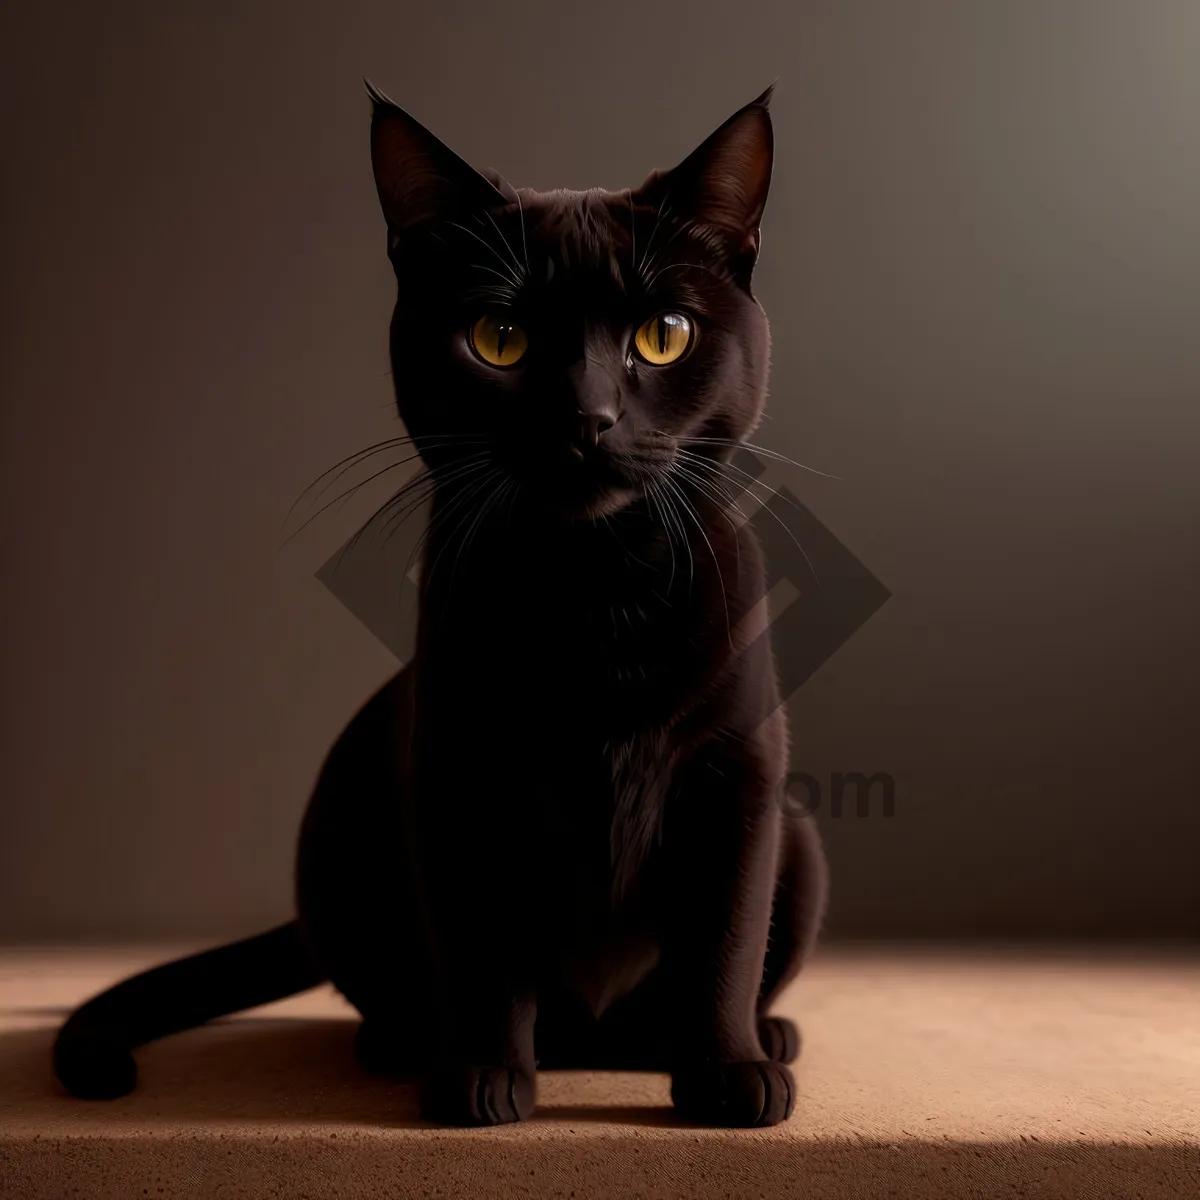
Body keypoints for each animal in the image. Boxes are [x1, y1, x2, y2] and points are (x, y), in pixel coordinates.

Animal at [51, 84, 830, 1123]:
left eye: (664, 336)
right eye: (500, 341)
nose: (586, 418)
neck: (597, 592)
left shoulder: (736, 777)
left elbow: (726, 941)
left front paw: (725, 1075)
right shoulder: (461, 773)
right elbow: (483, 948)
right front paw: (482, 1082)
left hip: (802, 837)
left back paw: (752, 1039)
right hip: (336, 827)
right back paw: (404, 1045)